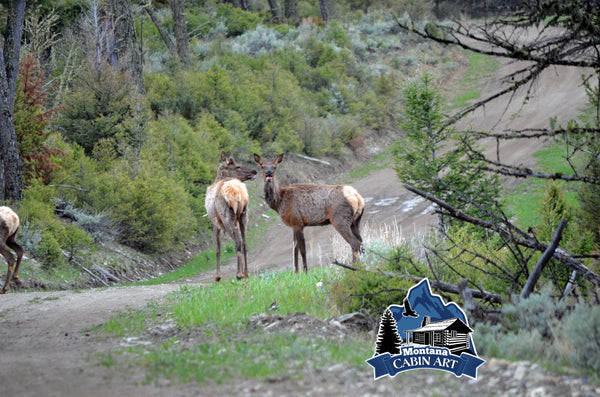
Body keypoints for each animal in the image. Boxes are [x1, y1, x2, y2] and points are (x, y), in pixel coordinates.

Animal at [205, 150, 256, 280]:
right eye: (238, 166)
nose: (255, 171)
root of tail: (237, 193)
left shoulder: (215, 223)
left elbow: (218, 248)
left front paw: (217, 276)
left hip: (226, 216)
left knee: (237, 241)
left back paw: (239, 274)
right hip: (244, 215)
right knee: (244, 242)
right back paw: (246, 272)